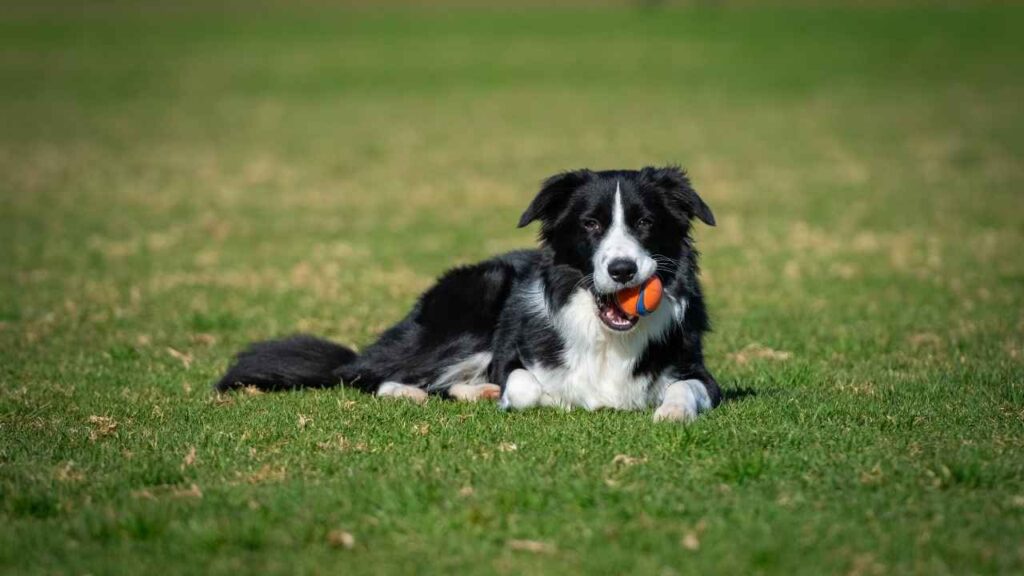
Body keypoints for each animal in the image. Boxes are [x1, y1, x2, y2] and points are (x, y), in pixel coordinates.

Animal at [216, 166, 720, 422]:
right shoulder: (513, 359)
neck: (606, 336)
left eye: (645, 222)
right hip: (477, 296)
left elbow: (685, 390)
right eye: (591, 224)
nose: (622, 269)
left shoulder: (699, 374)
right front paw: (546, 398)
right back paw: (415, 391)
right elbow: (526, 388)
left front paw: (671, 413)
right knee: (367, 375)